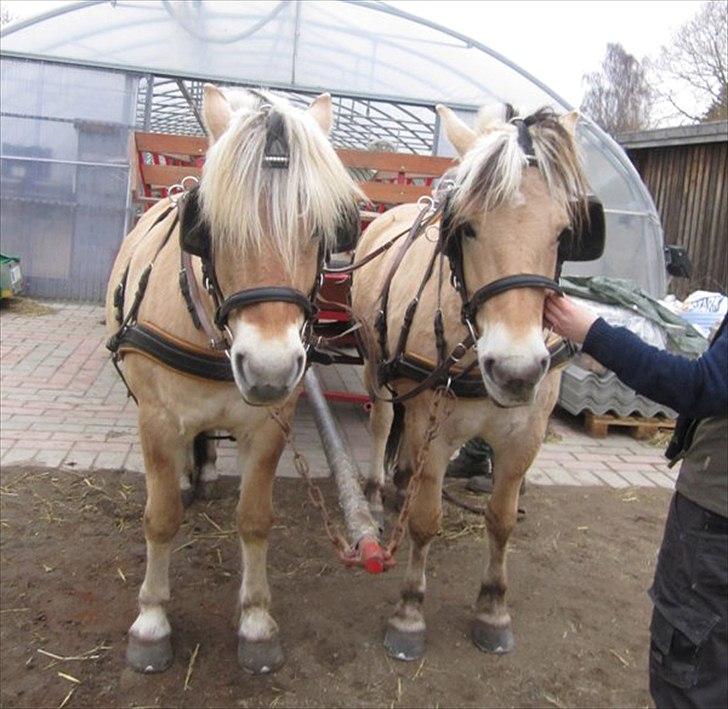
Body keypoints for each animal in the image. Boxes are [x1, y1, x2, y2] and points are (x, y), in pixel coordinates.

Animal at [105, 84, 362, 676]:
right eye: (208, 228)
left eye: (324, 229)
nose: (269, 368)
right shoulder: (156, 420)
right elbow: (160, 518)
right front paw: (151, 621)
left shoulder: (269, 426)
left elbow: (255, 519)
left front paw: (256, 620)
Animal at [352, 102, 596, 656]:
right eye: (465, 228)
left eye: (563, 232)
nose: (516, 371)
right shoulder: (437, 430)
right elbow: (425, 522)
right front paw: (409, 612)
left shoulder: (524, 438)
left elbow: (501, 521)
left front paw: (492, 606)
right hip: (376, 365)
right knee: (383, 422)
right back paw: (377, 492)